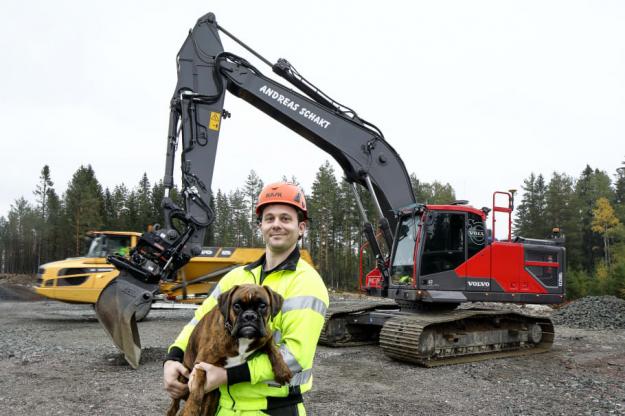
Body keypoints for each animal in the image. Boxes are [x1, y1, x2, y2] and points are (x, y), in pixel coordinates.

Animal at [166, 284, 292, 416]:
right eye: (236, 306)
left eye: (262, 306)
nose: (249, 315)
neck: (241, 338)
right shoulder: (201, 363)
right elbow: (196, 391)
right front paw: (191, 410)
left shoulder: (266, 336)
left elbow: (274, 350)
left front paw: (282, 371)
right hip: (182, 382)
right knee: (174, 407)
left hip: (212, 399)